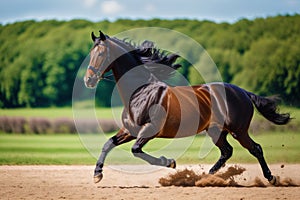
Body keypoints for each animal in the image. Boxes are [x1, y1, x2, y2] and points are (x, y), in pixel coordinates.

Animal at [84, 30, 290, 185]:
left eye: (100, 54)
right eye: (91, 54)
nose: (88, 80)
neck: (140, 92)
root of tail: (243, 93)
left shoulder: (150, 129)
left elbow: (136, 150)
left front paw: (170, 162)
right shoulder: (130, 130)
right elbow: (108, 144)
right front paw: (97, 174)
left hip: (238, 130)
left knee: (255, 149)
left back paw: (271, 178)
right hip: (216, 131)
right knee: (227, 151)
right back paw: (206, 177)